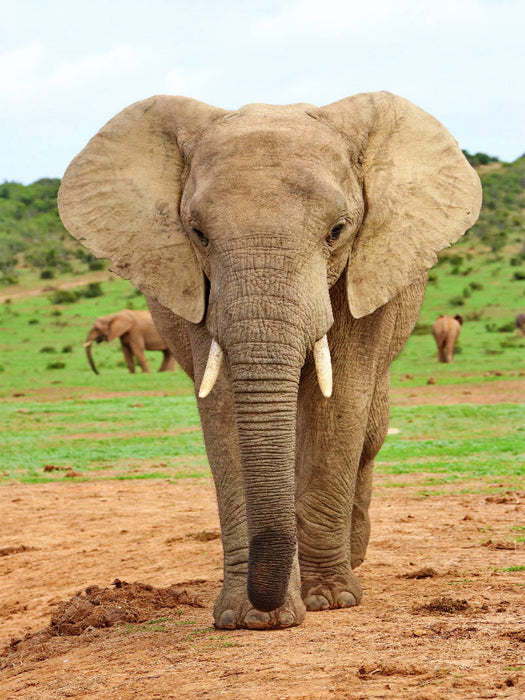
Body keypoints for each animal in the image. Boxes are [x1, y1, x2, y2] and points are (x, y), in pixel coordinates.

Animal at [58, 91, 481, 630]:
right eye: (197, 233)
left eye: (337, 231)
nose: (268, 602)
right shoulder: (201, 292)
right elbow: (223, 411)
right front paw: (250, 617)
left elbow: (340, 401)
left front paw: (329, 600)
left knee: (369, 432)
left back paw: (353, 557)